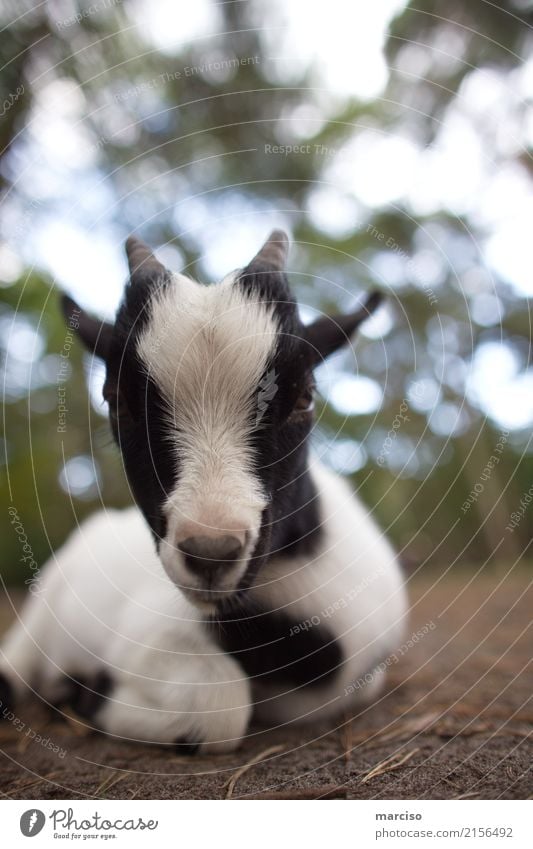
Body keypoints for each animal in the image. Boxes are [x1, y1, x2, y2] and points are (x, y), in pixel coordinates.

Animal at [1, 230, 408, 748]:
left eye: (304, 396)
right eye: (117, 400)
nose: (211, 553)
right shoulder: (148, 629)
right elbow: (218, 705)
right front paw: (88, 695)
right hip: (43, 604)